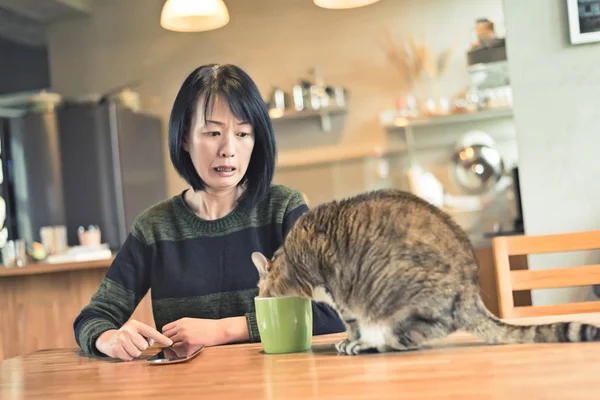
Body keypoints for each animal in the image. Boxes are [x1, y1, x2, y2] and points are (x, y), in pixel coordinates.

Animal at [251, 189, 600, 354]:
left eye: (259, 289)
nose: (259, 295)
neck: (292, 258)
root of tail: (471, 295)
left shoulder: (340, 295)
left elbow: (352, 324)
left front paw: (351, 340)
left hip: (397, 298)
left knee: (401, 338)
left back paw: (367, 345)